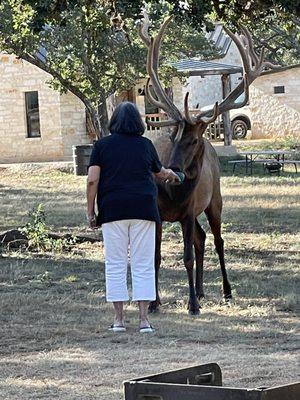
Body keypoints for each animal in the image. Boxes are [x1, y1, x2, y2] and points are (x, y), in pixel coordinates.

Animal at [139, 12, 278, 314]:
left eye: (193, 141)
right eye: (173, 136)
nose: (173, 170)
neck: (173, 195)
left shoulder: (188, 212)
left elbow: (187, 257)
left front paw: (191, 305)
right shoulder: (159, 214)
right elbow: (155, 256)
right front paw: (155, 303)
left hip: (215, 199)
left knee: (217, 240)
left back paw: (224, 291)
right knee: (202, 240)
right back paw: (202, 290)